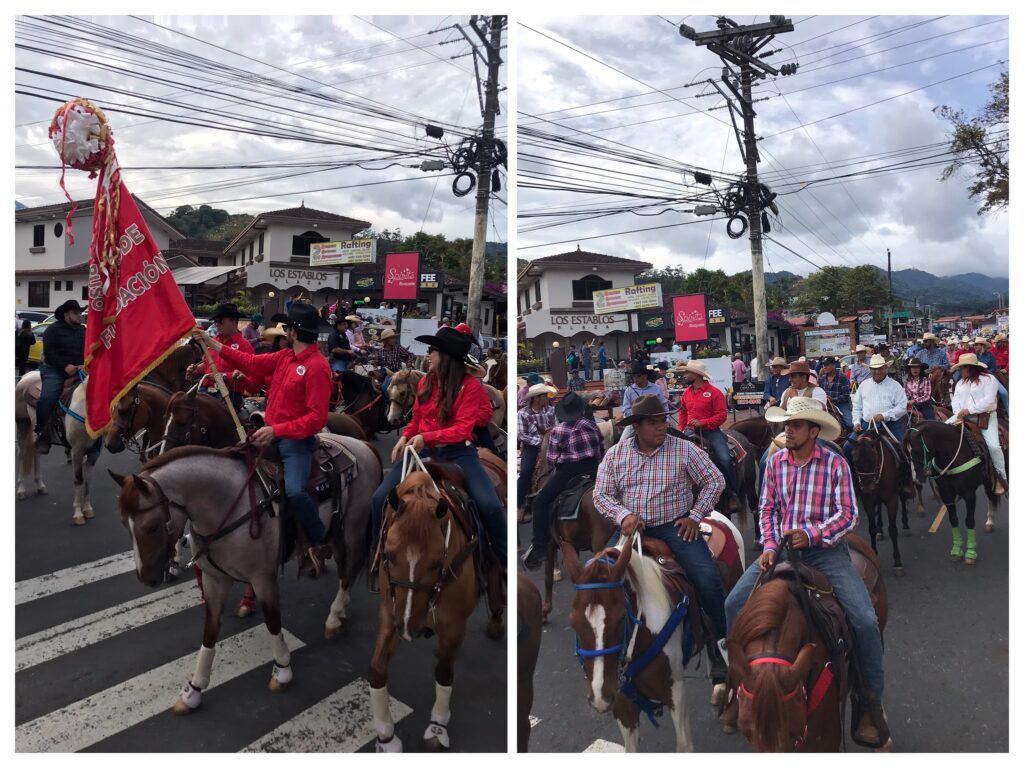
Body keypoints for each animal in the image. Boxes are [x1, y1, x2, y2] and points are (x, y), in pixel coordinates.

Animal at [108, 434, 382, 716]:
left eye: (151, 527)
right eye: (123, 523)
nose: (146, 578)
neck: (226, 504)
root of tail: (362, 445)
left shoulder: (263, 579)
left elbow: (273, 622)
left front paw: (282, 670)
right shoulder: (214, 581)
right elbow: (209, 632)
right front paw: (194, 689)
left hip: (352, 529)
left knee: (348, 569)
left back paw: (334, 617)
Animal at [372, 466, 507, 753]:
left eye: (436, 563)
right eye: (388, 555)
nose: (409, 629)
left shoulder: (453, 624)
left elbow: (444, 672)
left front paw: (437, 727)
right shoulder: (390, 614)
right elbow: (376, 670)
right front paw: (386, 736)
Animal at [561, 520, 745, 753]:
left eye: (621, 618)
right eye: (573, 621)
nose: (600, 698)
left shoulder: (675, 691)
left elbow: (684, 746)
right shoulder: (622, 703)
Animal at [847, 430, 913, 573]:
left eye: (874, 458)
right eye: (855, 461)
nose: (867, 488)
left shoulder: (892, 499)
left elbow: (893, 529)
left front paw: (897, 561)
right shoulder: (867, 501)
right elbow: (871, 528)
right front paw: (873, 552)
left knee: (903, 500)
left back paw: (905, 524)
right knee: (879, 508)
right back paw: (880, 529)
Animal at [905, 421, 999, 565]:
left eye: (916, 451)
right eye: (906, 452)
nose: (916, 480)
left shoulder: (969, 494)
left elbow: (969, 521)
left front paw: (971, 552)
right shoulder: (946, 494)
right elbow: (953, 520)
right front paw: (957, 549)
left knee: (991, 496)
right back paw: (989, 522)